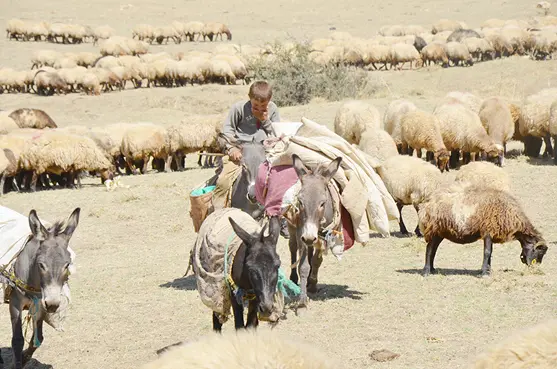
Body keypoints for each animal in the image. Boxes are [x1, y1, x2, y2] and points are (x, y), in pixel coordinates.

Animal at [416, 183, 548, 274]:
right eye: (539, 251)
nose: (534, 267)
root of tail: (426, 205)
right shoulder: (488, 231)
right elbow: (487, 252)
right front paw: (484, 272)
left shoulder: (491, 233)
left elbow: (490, 253)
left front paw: (488, 270)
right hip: (434, 230)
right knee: (429, 249)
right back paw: (426, 271)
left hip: (440, 232)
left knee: (433, 249)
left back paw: (432, 269)